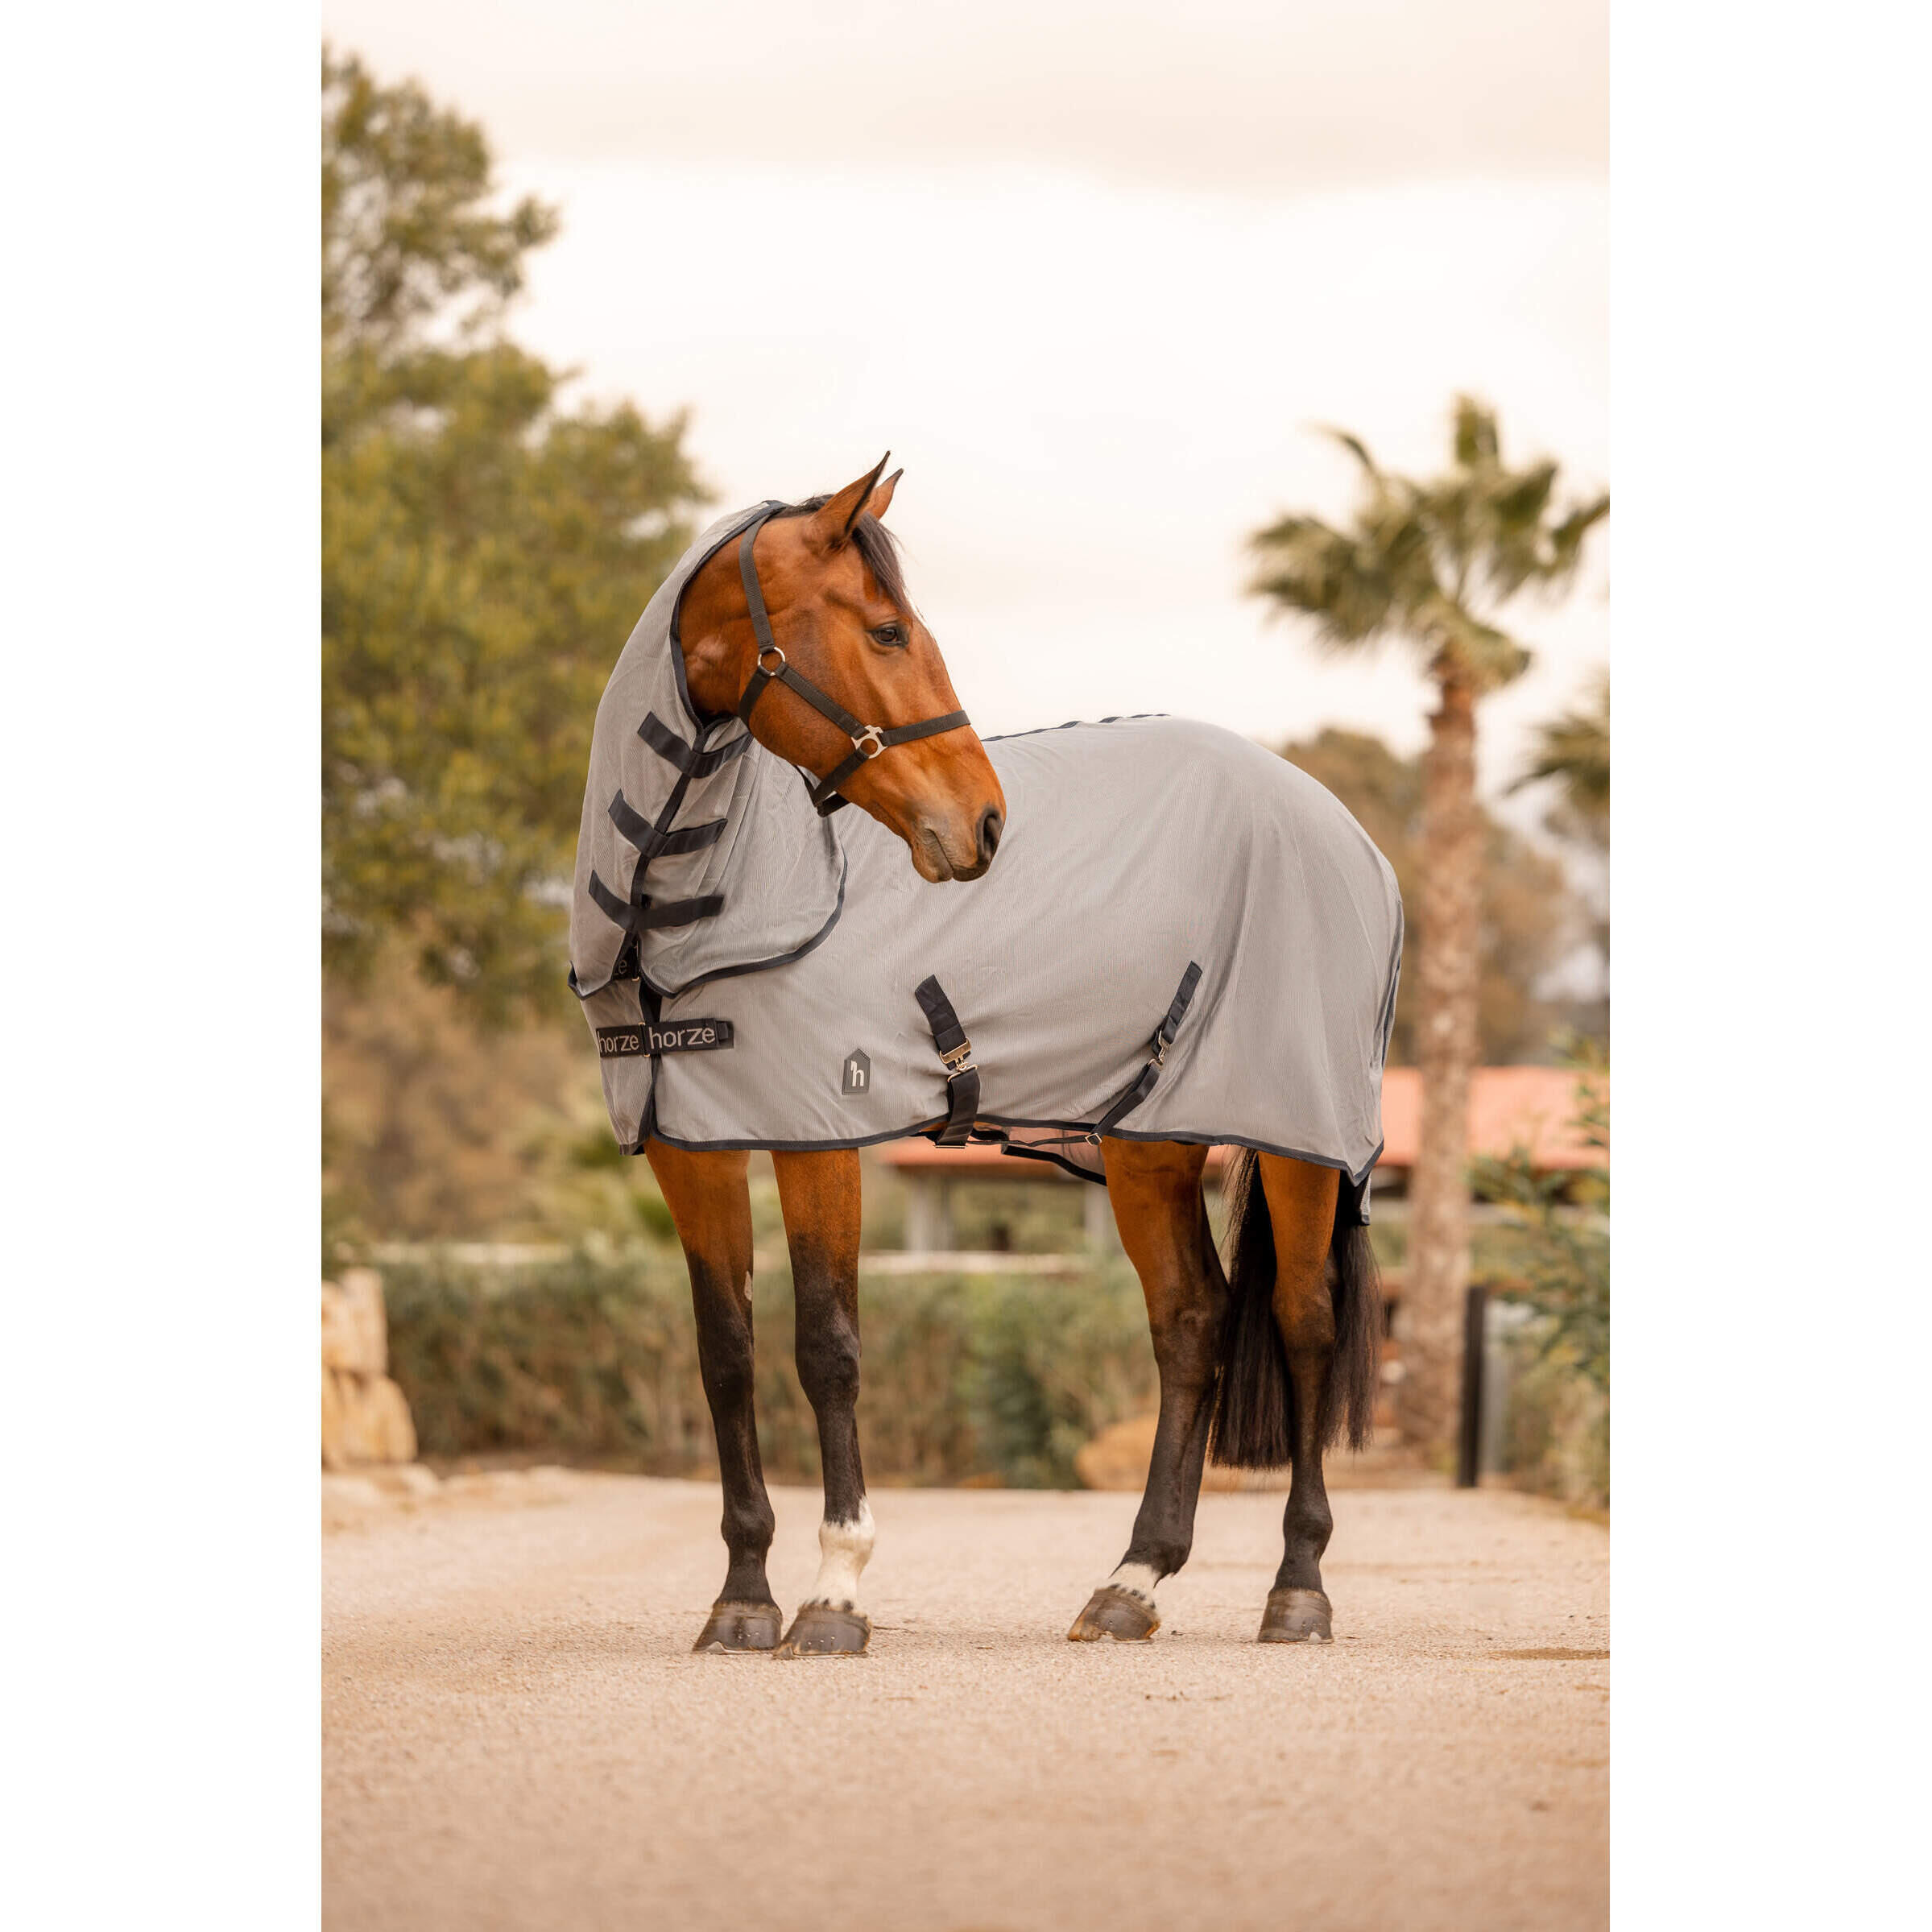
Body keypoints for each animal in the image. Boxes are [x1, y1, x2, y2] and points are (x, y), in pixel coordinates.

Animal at [574, 458, 1389, 1657]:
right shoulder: (692, 1146)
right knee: (1189, 1323)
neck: (686, 909)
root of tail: (1344, 828)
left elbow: (826, 1345)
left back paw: (1296, 1589)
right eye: (882, 628)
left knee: (1302, 1323)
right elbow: (726, 1351)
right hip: (1149, 1139)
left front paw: (834, 1593)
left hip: (1298, 1136)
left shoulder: (819, 1136)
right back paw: (1130, 1581)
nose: (984, 825)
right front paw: (740, 1598)